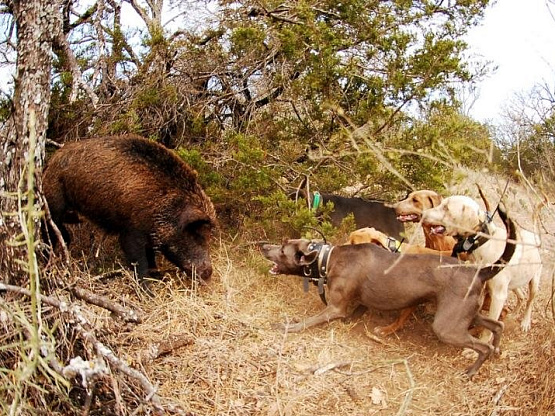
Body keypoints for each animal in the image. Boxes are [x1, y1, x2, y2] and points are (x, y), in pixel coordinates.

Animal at [262, 205, 520, 376]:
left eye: (283, 250)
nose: (263, 246)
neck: (327, 258)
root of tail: (479, 272)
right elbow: (357, 310)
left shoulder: (334, 308)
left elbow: (307, 322)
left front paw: (287, 327)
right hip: (465, 314)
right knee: (498, 325)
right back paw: (497, 350)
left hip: (447, 326)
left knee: (483, 345)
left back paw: (471, 370)